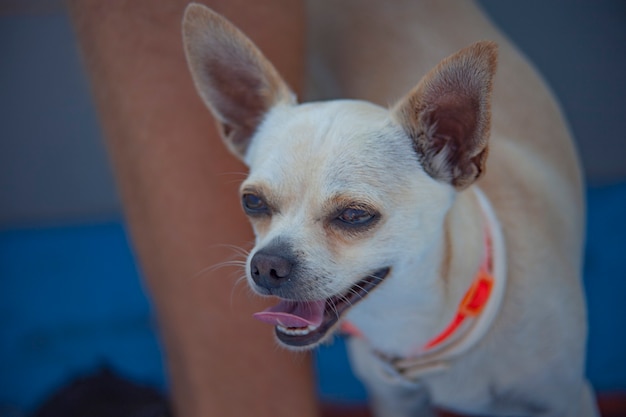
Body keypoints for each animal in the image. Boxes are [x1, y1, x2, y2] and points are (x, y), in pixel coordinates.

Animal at [180, 4, 596, 416]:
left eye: (354, 216)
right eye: (252, 202)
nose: (266, 264)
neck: (412, 328)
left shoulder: (569, 398)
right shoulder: (394, 401)